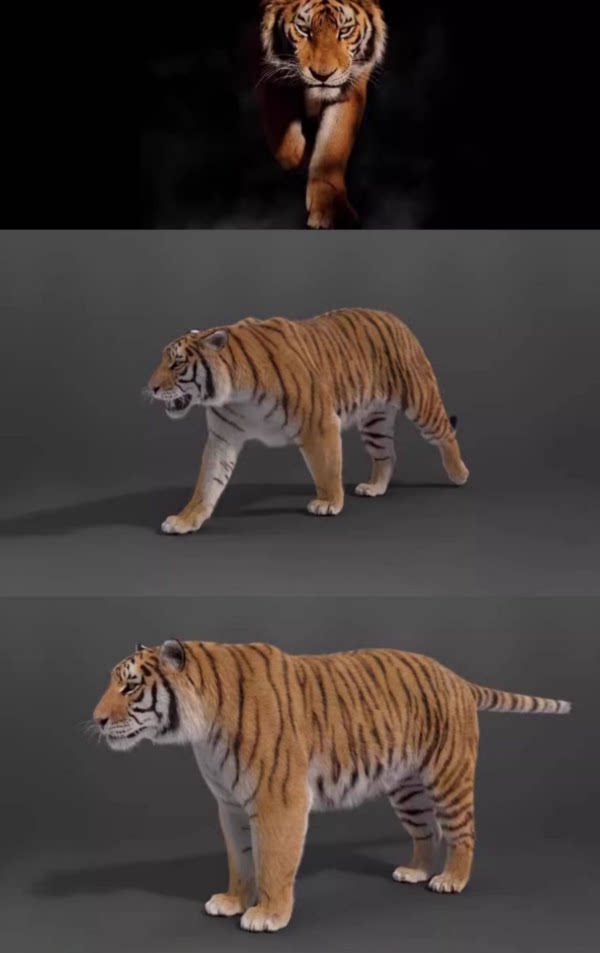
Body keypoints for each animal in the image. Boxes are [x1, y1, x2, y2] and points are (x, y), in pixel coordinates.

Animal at [93, 639, 571, 933]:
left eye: (130, 686)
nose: (96, 720)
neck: (201, 730)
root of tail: (457, 677)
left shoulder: (278, 801)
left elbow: (273, 862)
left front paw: (267, 915)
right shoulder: (230, 806)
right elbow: (240, 860)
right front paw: (232, 901)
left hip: (448, 776)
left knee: (463, 832)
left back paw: (451, 879)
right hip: (408, 790)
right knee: (427, 832)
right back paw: (415, 871)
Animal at [147, 308, 469, 536]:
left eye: (176, 363)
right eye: (162, 361)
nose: (151, 387)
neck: (234, 395)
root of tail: (395, 318)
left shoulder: (320, 423)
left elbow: (327, 469)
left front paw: (328, 503)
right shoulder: (223, 438)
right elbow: (207, 483)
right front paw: (185, 519)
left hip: (420, 400)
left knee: (445, 433)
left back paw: (459, 475)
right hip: (374, 422)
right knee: (386, 454)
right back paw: (374, 487)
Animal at [258, 1, 387, 228]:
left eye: (344, 31)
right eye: (303, 29)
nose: (322, 76)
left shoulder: (350, 82)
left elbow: (332, 146)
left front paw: (331, 210)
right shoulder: (272, 71)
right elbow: (286, 145)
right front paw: (304, 160)